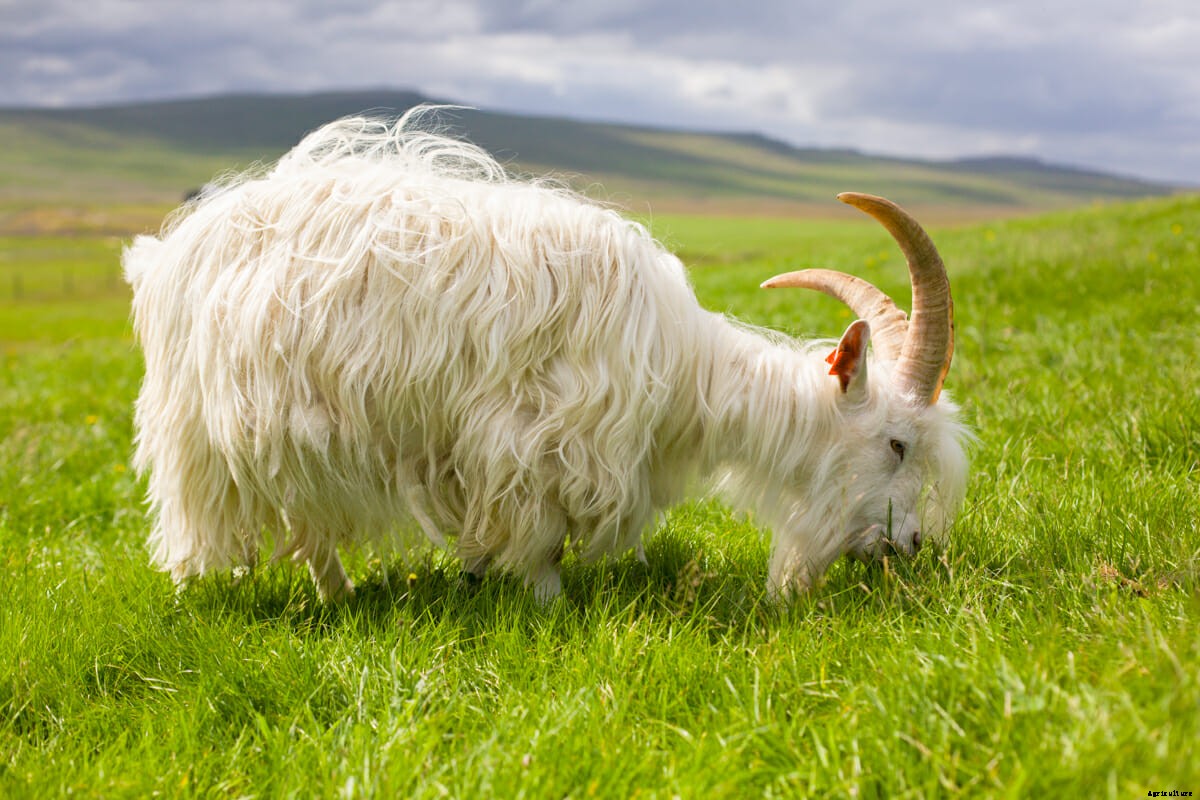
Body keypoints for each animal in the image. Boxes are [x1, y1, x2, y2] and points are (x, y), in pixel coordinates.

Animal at [123, 110, 970, 602]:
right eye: (896, 443)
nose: (913, 548)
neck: (680, 371)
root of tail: (170, 253)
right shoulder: (537, 441)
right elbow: (540, 541)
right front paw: (544, 606)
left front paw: (477, 575)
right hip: (237, 429)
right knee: (283, 519)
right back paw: (315, 599)